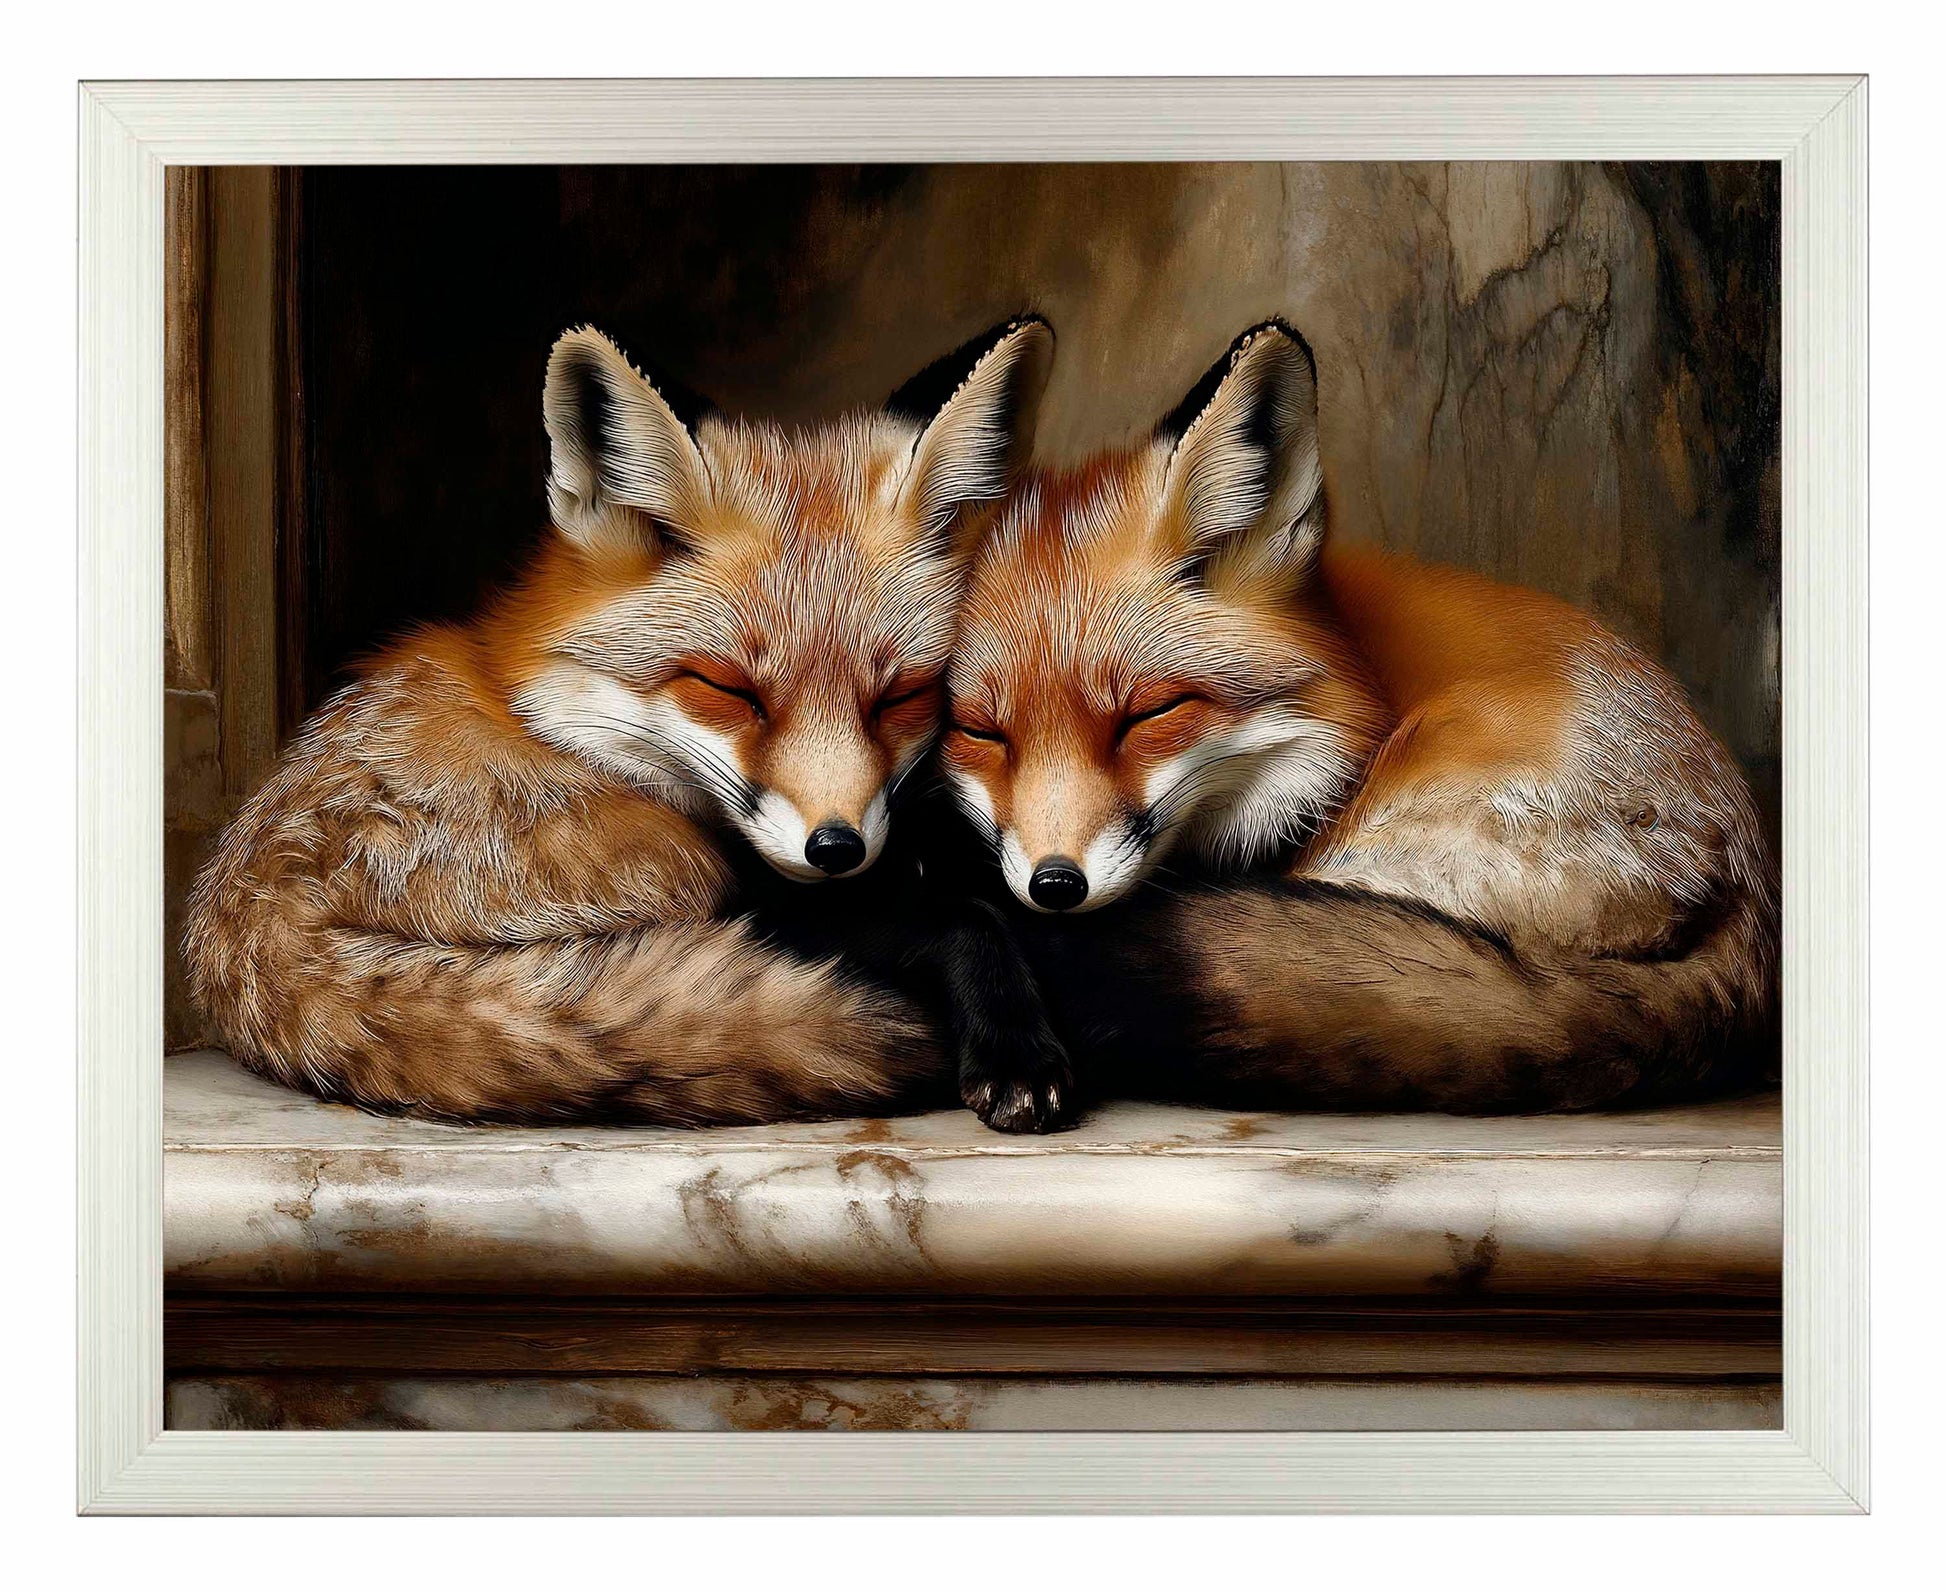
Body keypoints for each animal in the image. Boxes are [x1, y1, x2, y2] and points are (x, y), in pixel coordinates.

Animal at [183, 315, 1069, 1128]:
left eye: (899, 696)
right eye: (729, 688)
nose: (836, 848)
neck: (545, 705)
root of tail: (254, 926)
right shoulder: (768, 896)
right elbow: (965, 915)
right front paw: (1014, 1047)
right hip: (676, 865)